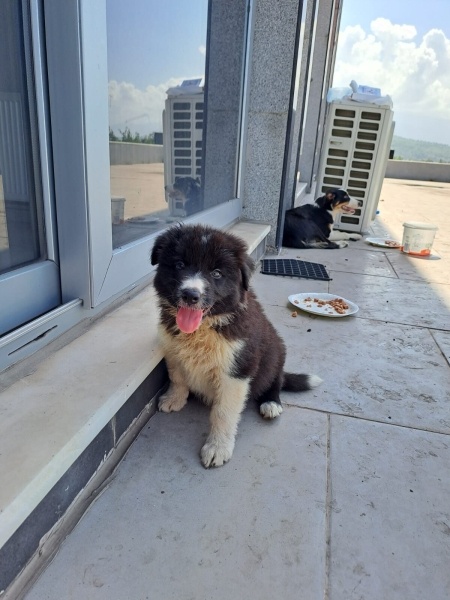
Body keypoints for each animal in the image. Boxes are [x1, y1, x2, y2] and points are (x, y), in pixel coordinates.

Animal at [153, 225, 322, 468]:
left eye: (216, 273)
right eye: (179, 265)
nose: (190, 294)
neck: (205, 328)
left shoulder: (237, 369)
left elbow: (223, 412)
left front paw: (217, 448)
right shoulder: (172, 349)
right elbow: (177, 378)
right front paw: (174, 399)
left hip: (275, 352)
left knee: (276, 379)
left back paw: (271, 403)